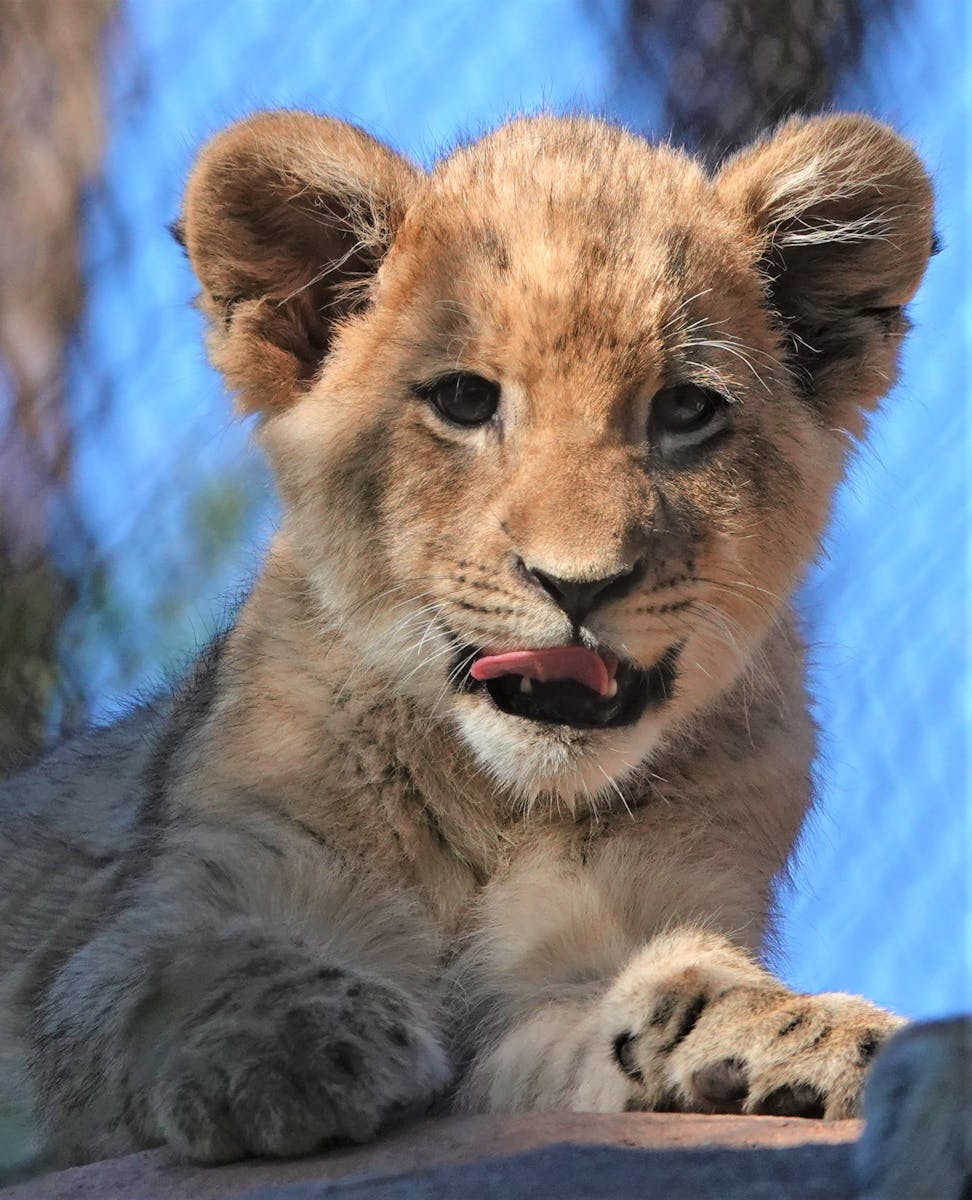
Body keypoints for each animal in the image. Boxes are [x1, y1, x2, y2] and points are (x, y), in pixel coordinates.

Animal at [0, 110, 940, 1173]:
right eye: (463, 400)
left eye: (687, 409)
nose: (581, 584)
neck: (497, 800)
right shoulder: (153, 908)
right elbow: (167, 971)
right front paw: (294, 1040)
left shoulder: (600, 942)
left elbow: (673, 988)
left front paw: (805, 1034)